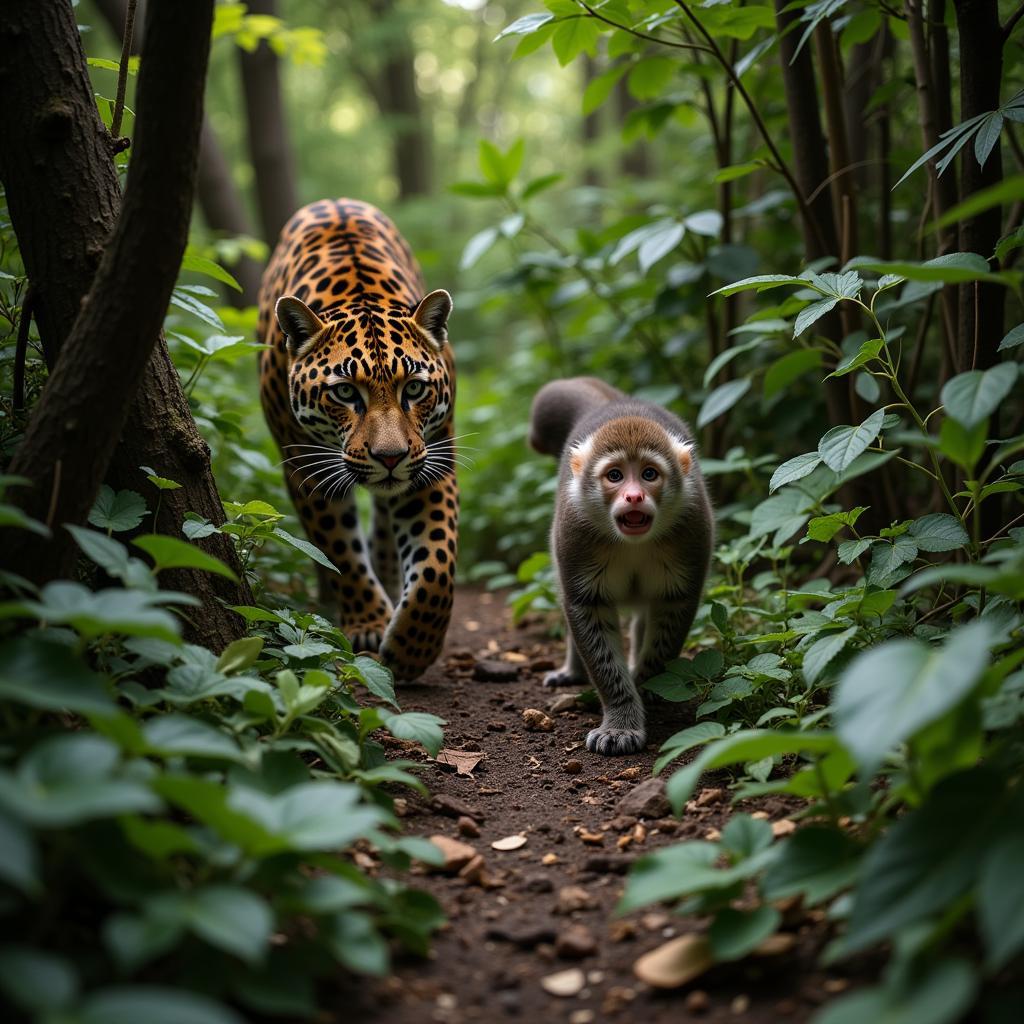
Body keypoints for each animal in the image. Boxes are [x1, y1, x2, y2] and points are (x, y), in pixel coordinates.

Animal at [528, 376, 712, 753]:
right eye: (615, 475)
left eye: (649, 474)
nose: (634, 496)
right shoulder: (575, 533)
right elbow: (586, 610)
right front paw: (621, 717)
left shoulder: (691, 528)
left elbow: (672, 609)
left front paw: (648, 684)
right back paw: (573, 670)